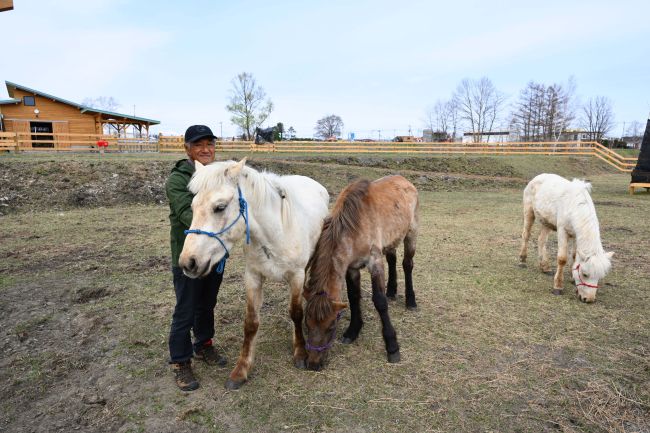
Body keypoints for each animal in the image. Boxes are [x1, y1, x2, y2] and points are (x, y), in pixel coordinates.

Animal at [178, 158, 329, 389]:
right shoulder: (252, 277)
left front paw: (300, 352)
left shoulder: (296, 275)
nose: (188, 262)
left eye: (219, 207)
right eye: (193, 206)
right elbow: (250, 323)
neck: (276, 232)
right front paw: (241, 370)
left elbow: (296, 312)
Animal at [302, 175, 419, 371]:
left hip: (411, 233)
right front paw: (353, 331)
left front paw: (392, 347)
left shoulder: (374, 262)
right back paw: (392, 291)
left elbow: (380, 302)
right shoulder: (351, 268)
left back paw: (411, 301)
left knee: (407, 265)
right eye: (306, 324)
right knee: (392, 259)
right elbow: (353, 297)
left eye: (331, 326)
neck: (354, 226)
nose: (313, 364)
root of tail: (405, 181)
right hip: (391, 240)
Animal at [518, 173, 613, 303]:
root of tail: (537, 177)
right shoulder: (562, 231)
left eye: (599, 276)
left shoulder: (576, 235)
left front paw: (573, 278)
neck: (574, 206)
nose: (588, 299)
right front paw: (558, 286)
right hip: (529, 212)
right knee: (526, 235)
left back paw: (545, 266)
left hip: (547, 222)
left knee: (541, 240)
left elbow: (574, 256)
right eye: (585, 274)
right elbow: (562, 259)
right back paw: (522, 260)